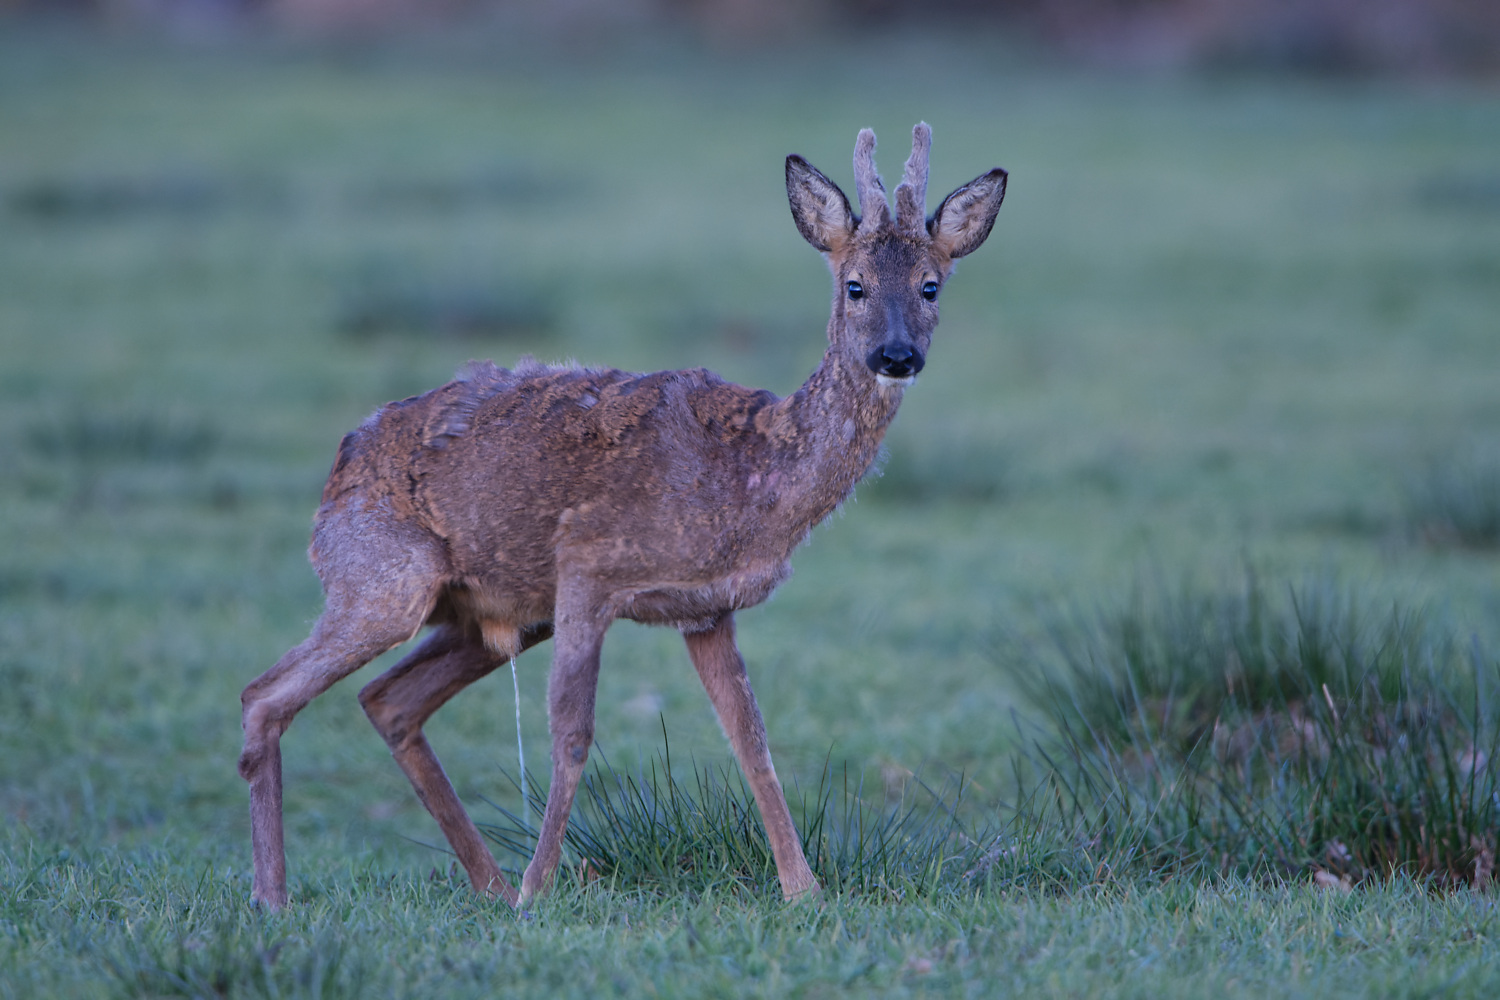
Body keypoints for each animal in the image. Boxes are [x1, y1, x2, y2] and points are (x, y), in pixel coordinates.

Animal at [237, 122, 1008, 905]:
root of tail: (340, 464)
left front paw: (803, 889)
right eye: (854, 285)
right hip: (381, 577)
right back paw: (277, 896)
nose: (897, 354)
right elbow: (572, 734)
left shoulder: (707, 608)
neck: (751, 477)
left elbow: (750, 737)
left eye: (931, 285)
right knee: (264, 695)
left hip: (494, 614)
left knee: (387, 699)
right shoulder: (588, 563)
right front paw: (537, 893)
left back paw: (484, 884)